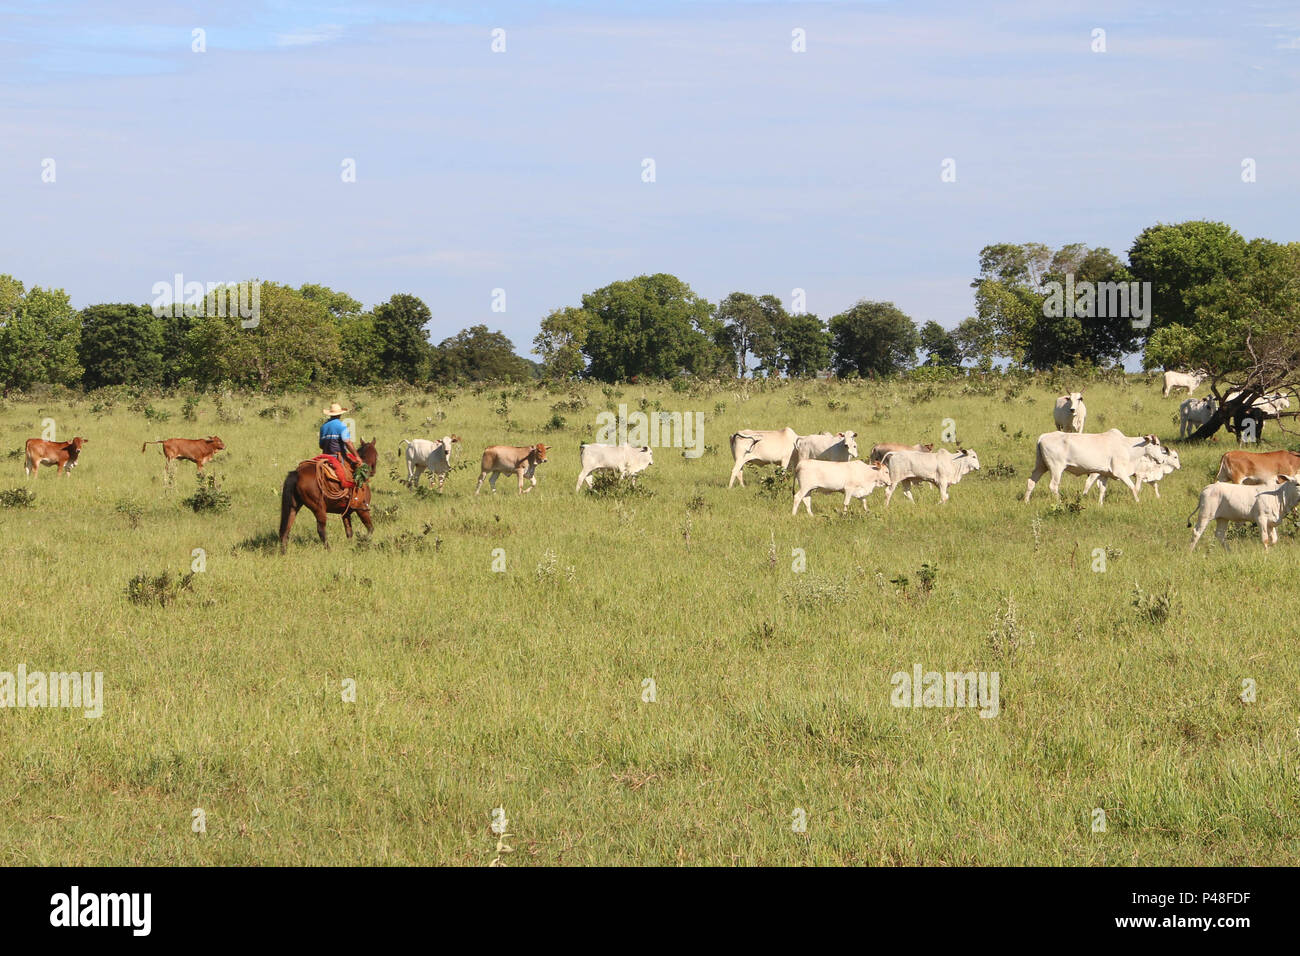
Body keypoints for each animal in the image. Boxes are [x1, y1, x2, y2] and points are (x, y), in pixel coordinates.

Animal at [1024, 429, 1180, 504]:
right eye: (1157, 444)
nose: (1161, 459)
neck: (1128, 447)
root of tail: (1042, 437)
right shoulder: (1120, 472)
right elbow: (1133, 487)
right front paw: (1137, 501)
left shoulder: (1104, 474)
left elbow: (1102, 490)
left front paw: (1100, 504)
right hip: (1057, 468)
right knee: (1053, 486)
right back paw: (1059, 501)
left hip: (1041, 466)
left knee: (1031, 482)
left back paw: (1026, 501)